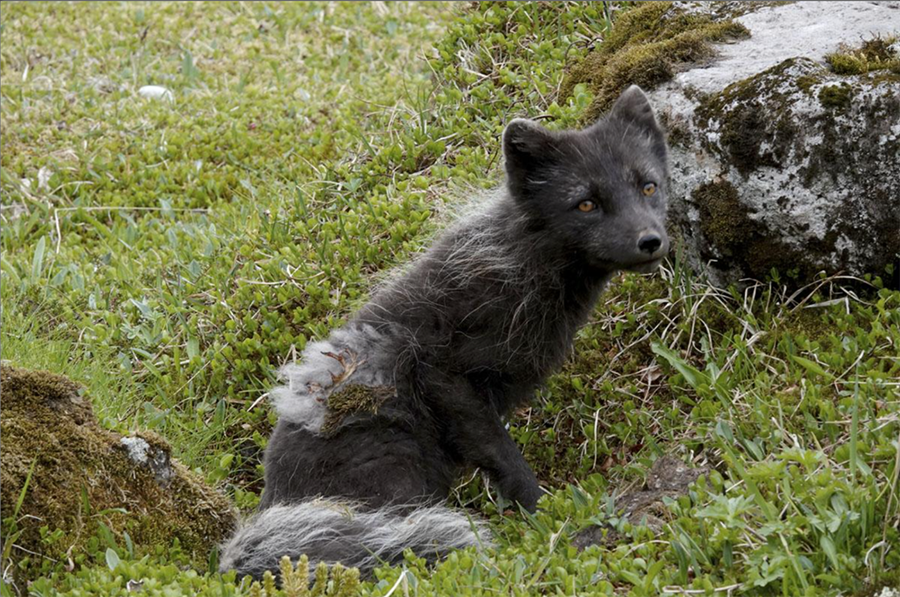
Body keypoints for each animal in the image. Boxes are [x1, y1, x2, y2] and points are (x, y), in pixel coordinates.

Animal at [218, 84, 668, 576]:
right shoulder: (445, 374)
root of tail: (271, 506)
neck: (520, 261)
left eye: (648, 186)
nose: (651, 241)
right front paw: (541, 512)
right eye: (586, 203)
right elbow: (501, 452)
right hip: (399, 462)